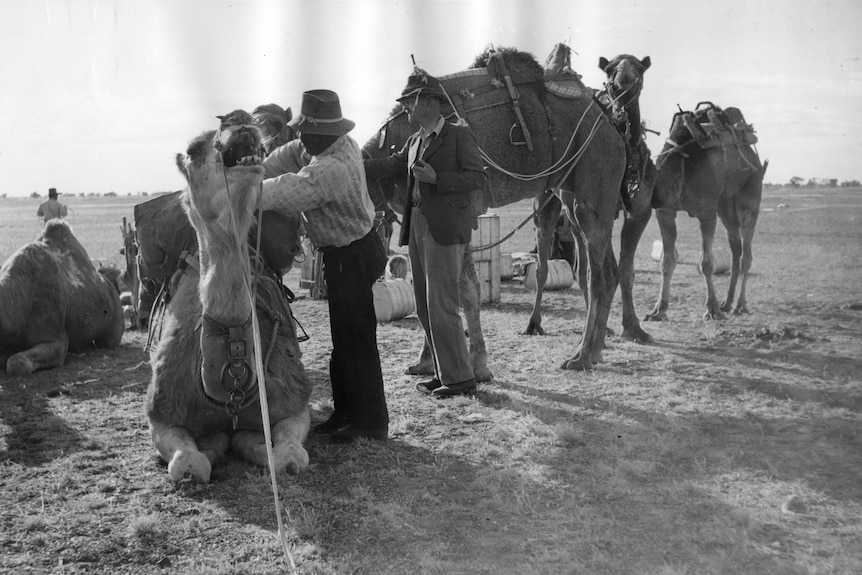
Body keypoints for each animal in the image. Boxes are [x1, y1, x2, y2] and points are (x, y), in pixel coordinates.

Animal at [145, 111, 311, 483]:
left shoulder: (295, 406)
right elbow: (189, 464)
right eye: (192, 149)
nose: (239, 118)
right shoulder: (160, 415)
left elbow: (288, 457)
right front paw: (213, 446)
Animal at [366, 46, 626, 370]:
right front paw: (425, 362)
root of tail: (612, 126)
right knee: (609, 270)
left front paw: (478, 364)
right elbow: (426, 286)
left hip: (596, 173)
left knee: (598, 275)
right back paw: (597, 349)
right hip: (574, 190)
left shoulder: (463, 210)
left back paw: (581, 356)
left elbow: (466, 289)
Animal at [645, 102, 766, 322]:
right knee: (735, 250)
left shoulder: (707, 213)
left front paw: (712, 309)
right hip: (725, 207)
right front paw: (658, 310)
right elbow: (667, 261)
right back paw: (727, 302)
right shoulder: (664, 212)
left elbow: (707, 263)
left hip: (751, 194)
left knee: (746, 254)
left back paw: (740, 305)